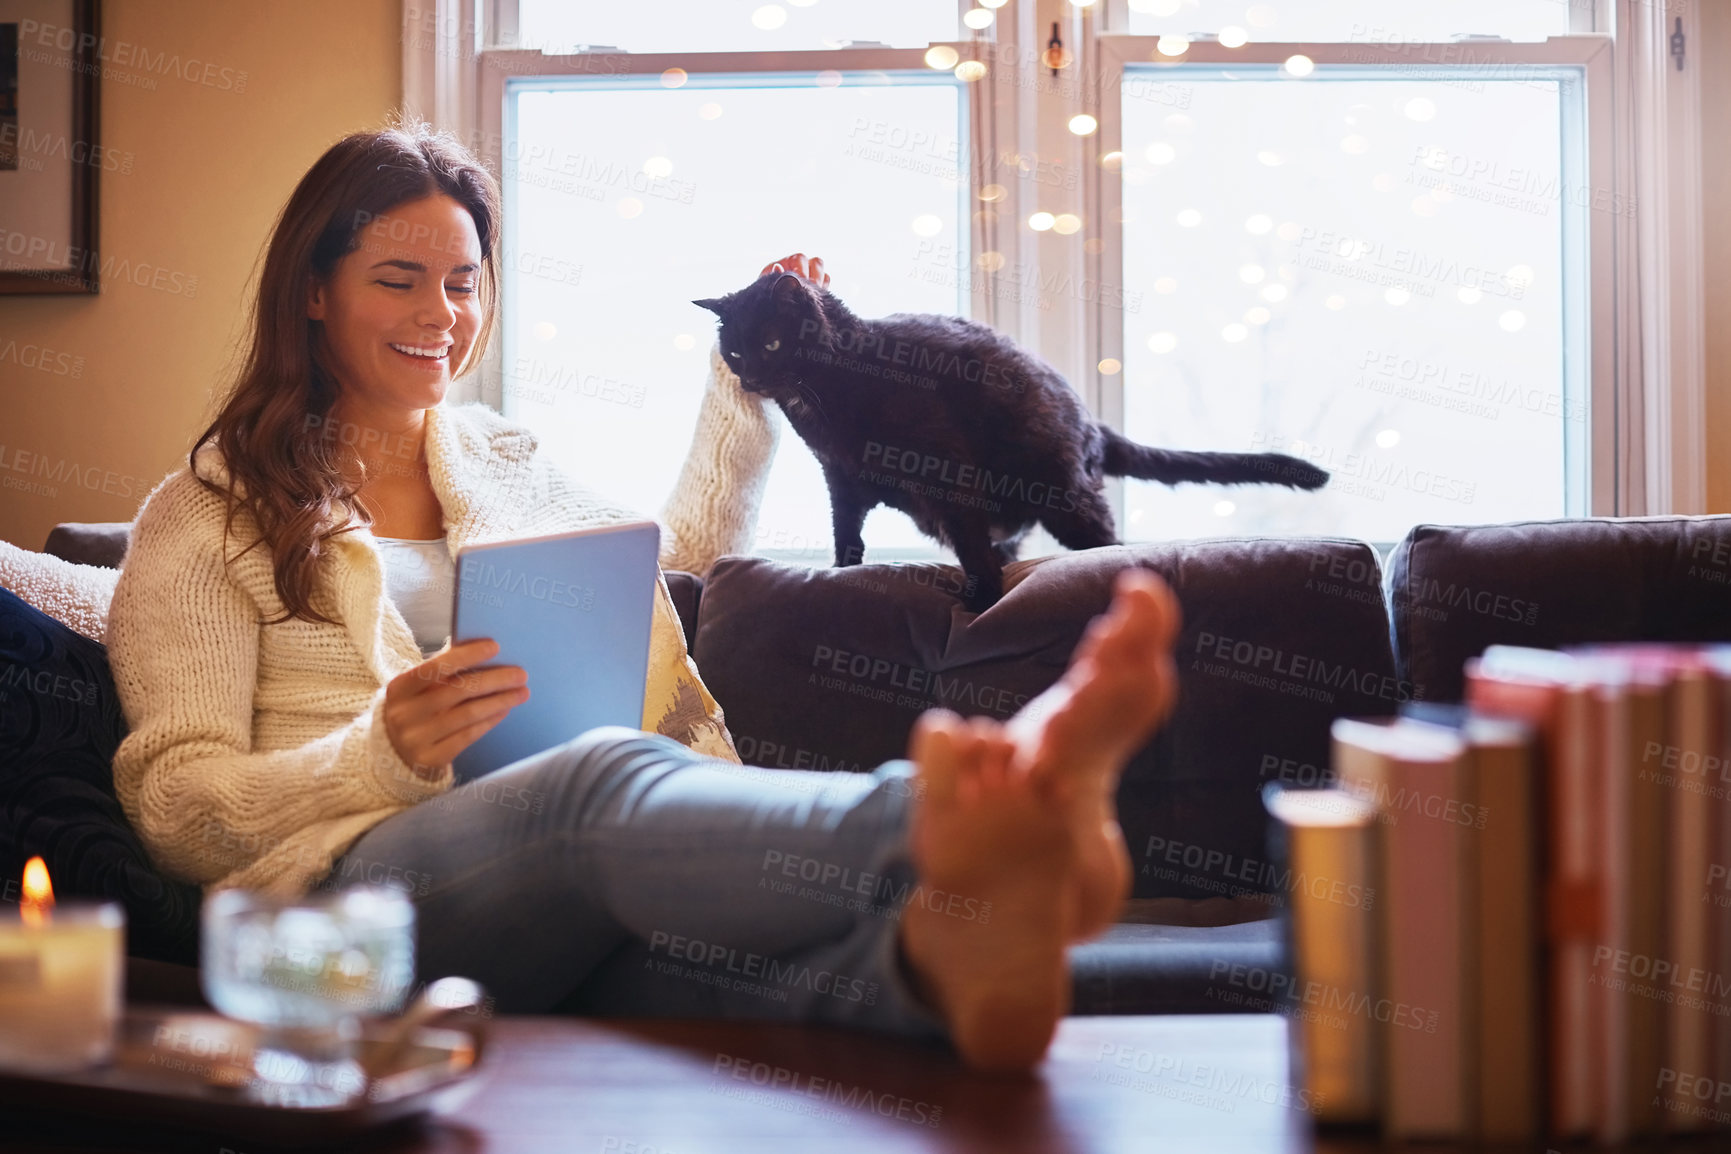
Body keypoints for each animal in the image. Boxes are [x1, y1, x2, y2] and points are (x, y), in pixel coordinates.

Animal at [695, 273, 1329, 612]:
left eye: (772, 343)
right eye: (736, 351)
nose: (750, 377)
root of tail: (1091, 422)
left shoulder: (944, 468)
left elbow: (970, 544)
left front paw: (979, 599)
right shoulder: (840, 477)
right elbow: (846, 531)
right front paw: (839, 571)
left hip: (1064, 498)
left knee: (1106, 543)